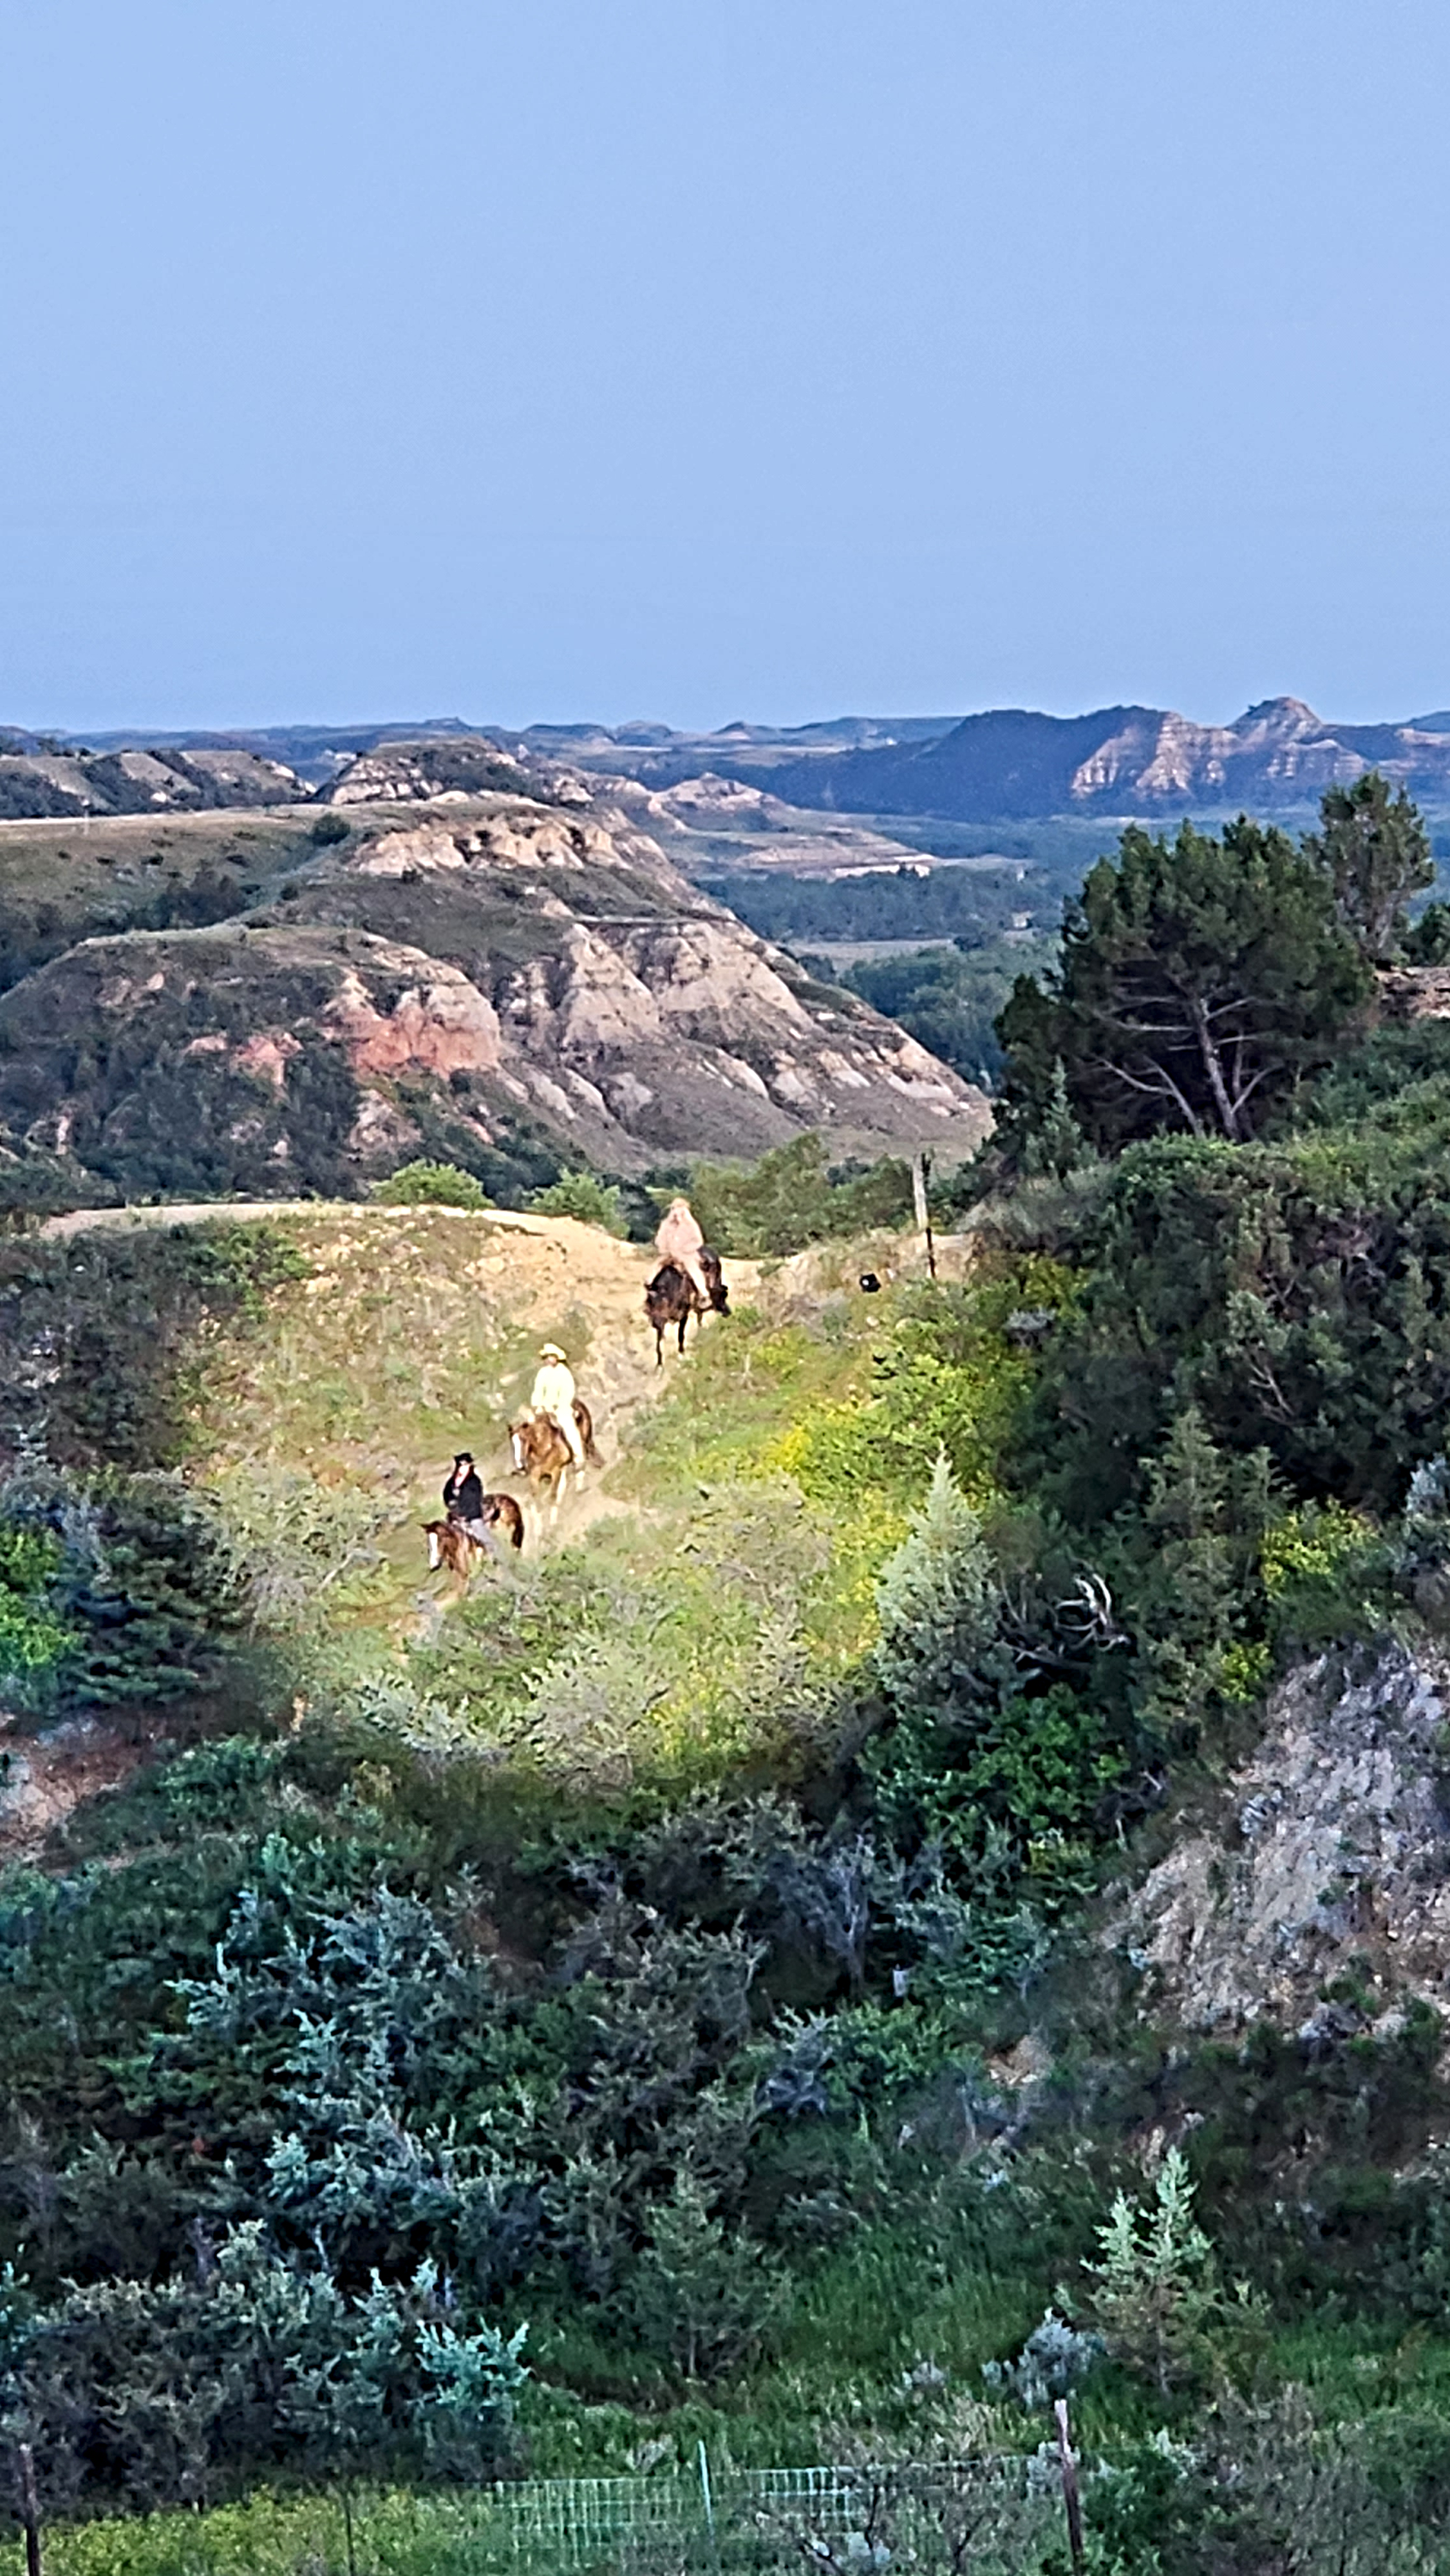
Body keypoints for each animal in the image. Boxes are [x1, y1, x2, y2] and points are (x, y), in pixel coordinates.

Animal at [646, 1252, 731, 1370]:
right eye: (650, 1301)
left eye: (664, 1302)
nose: (654, 1323)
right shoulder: (662, 1324)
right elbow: (659, 1344)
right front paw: (659, 1365)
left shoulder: (684, 1316)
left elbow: (681, 1335)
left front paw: (682, 1354)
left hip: (716, 1285)